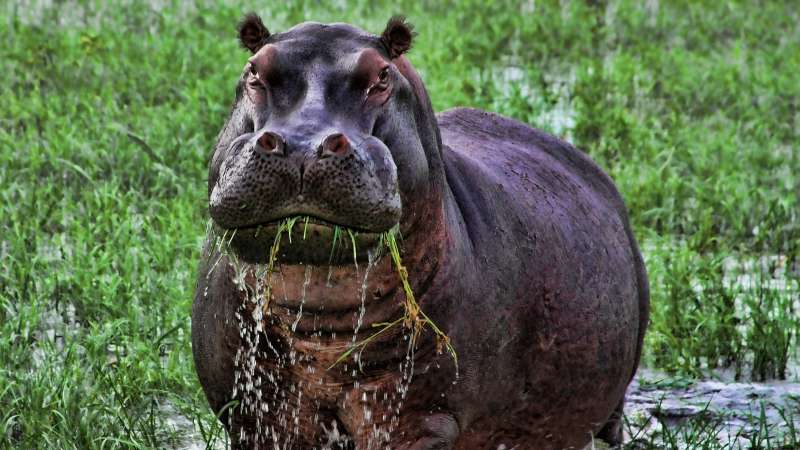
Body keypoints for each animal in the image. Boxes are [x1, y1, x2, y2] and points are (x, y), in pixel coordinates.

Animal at [192, 13, 649, 450]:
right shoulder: (257, 412)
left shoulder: (420, 416)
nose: (304, 144)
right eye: (255, 70)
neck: (322, 329)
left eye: (381, 76)